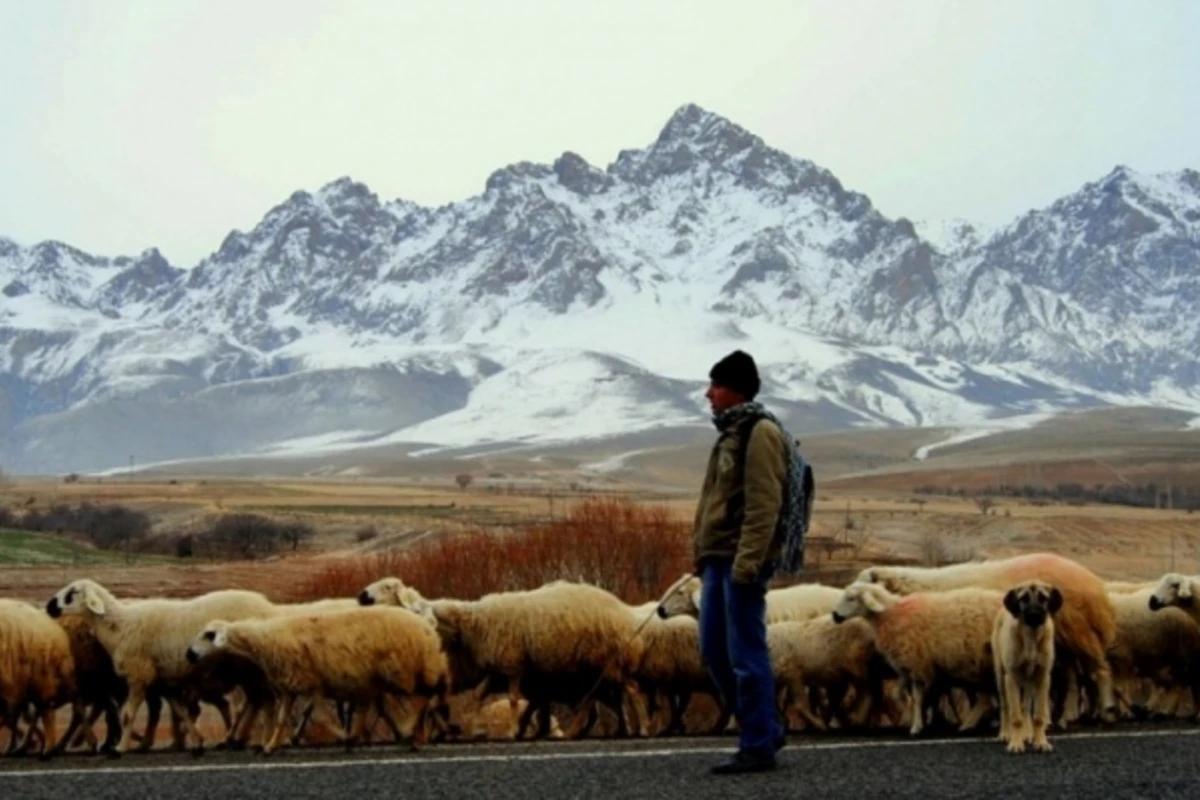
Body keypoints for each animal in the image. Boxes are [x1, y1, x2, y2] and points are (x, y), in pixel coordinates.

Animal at [46, 578, 276, 753]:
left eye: (73, 592)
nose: (49, 606)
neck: (121, 626)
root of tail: (269, 607)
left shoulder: (138, 676)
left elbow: (127, 715)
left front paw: (120, 748)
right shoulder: (164, 679)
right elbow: (181, 711)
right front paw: (194, 741)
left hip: (247, 667)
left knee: (255, 700)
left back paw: (244, 738)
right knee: (253, 701)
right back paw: (236, 739)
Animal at [187, 606, 451, 758]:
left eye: (209, 635)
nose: (189, 654)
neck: (266, 640)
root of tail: (428, 629)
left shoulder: (311, 683)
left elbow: (321, 716)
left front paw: (341, 735)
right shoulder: (291, 686)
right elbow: (282, 719)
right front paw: (271, 746)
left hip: (403, 669)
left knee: (421, 699)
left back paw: (410, 732)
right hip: (396, 673)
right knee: (420, 699)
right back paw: (415, 737)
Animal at [830, 578, 998, 734]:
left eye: (851, 598)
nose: (835, 615)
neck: (891, 615)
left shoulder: (916, 662)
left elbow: (917, 698)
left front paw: (916, 726)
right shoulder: (911, 667)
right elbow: (901, 695)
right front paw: (915, 719)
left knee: (987, 697)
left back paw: (973, 723)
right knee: (987, 697)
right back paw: (972, 723)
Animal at [859, 554, 1118, 724]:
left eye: (866, 584)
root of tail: (1095, 585)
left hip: (1080, 633)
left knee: (1101, 671)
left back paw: (1105, 709)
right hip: (1063, 642)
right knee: (1073, 679)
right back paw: (1069, 715)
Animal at [988, 578, 1065, 753]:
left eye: (1043, 598)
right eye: (1023, 598)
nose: (1034, 615)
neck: (1031, 637)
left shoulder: (1043, 677)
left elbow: (1038, 716)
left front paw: (1040, 742)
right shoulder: (1011, 678)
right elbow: (1016, 717)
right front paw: (1016, 744)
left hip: (1030, 680)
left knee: (1026, 706)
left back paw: (1028, 733)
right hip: (1000, 676)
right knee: (1005, 706)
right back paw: (1005, 733)